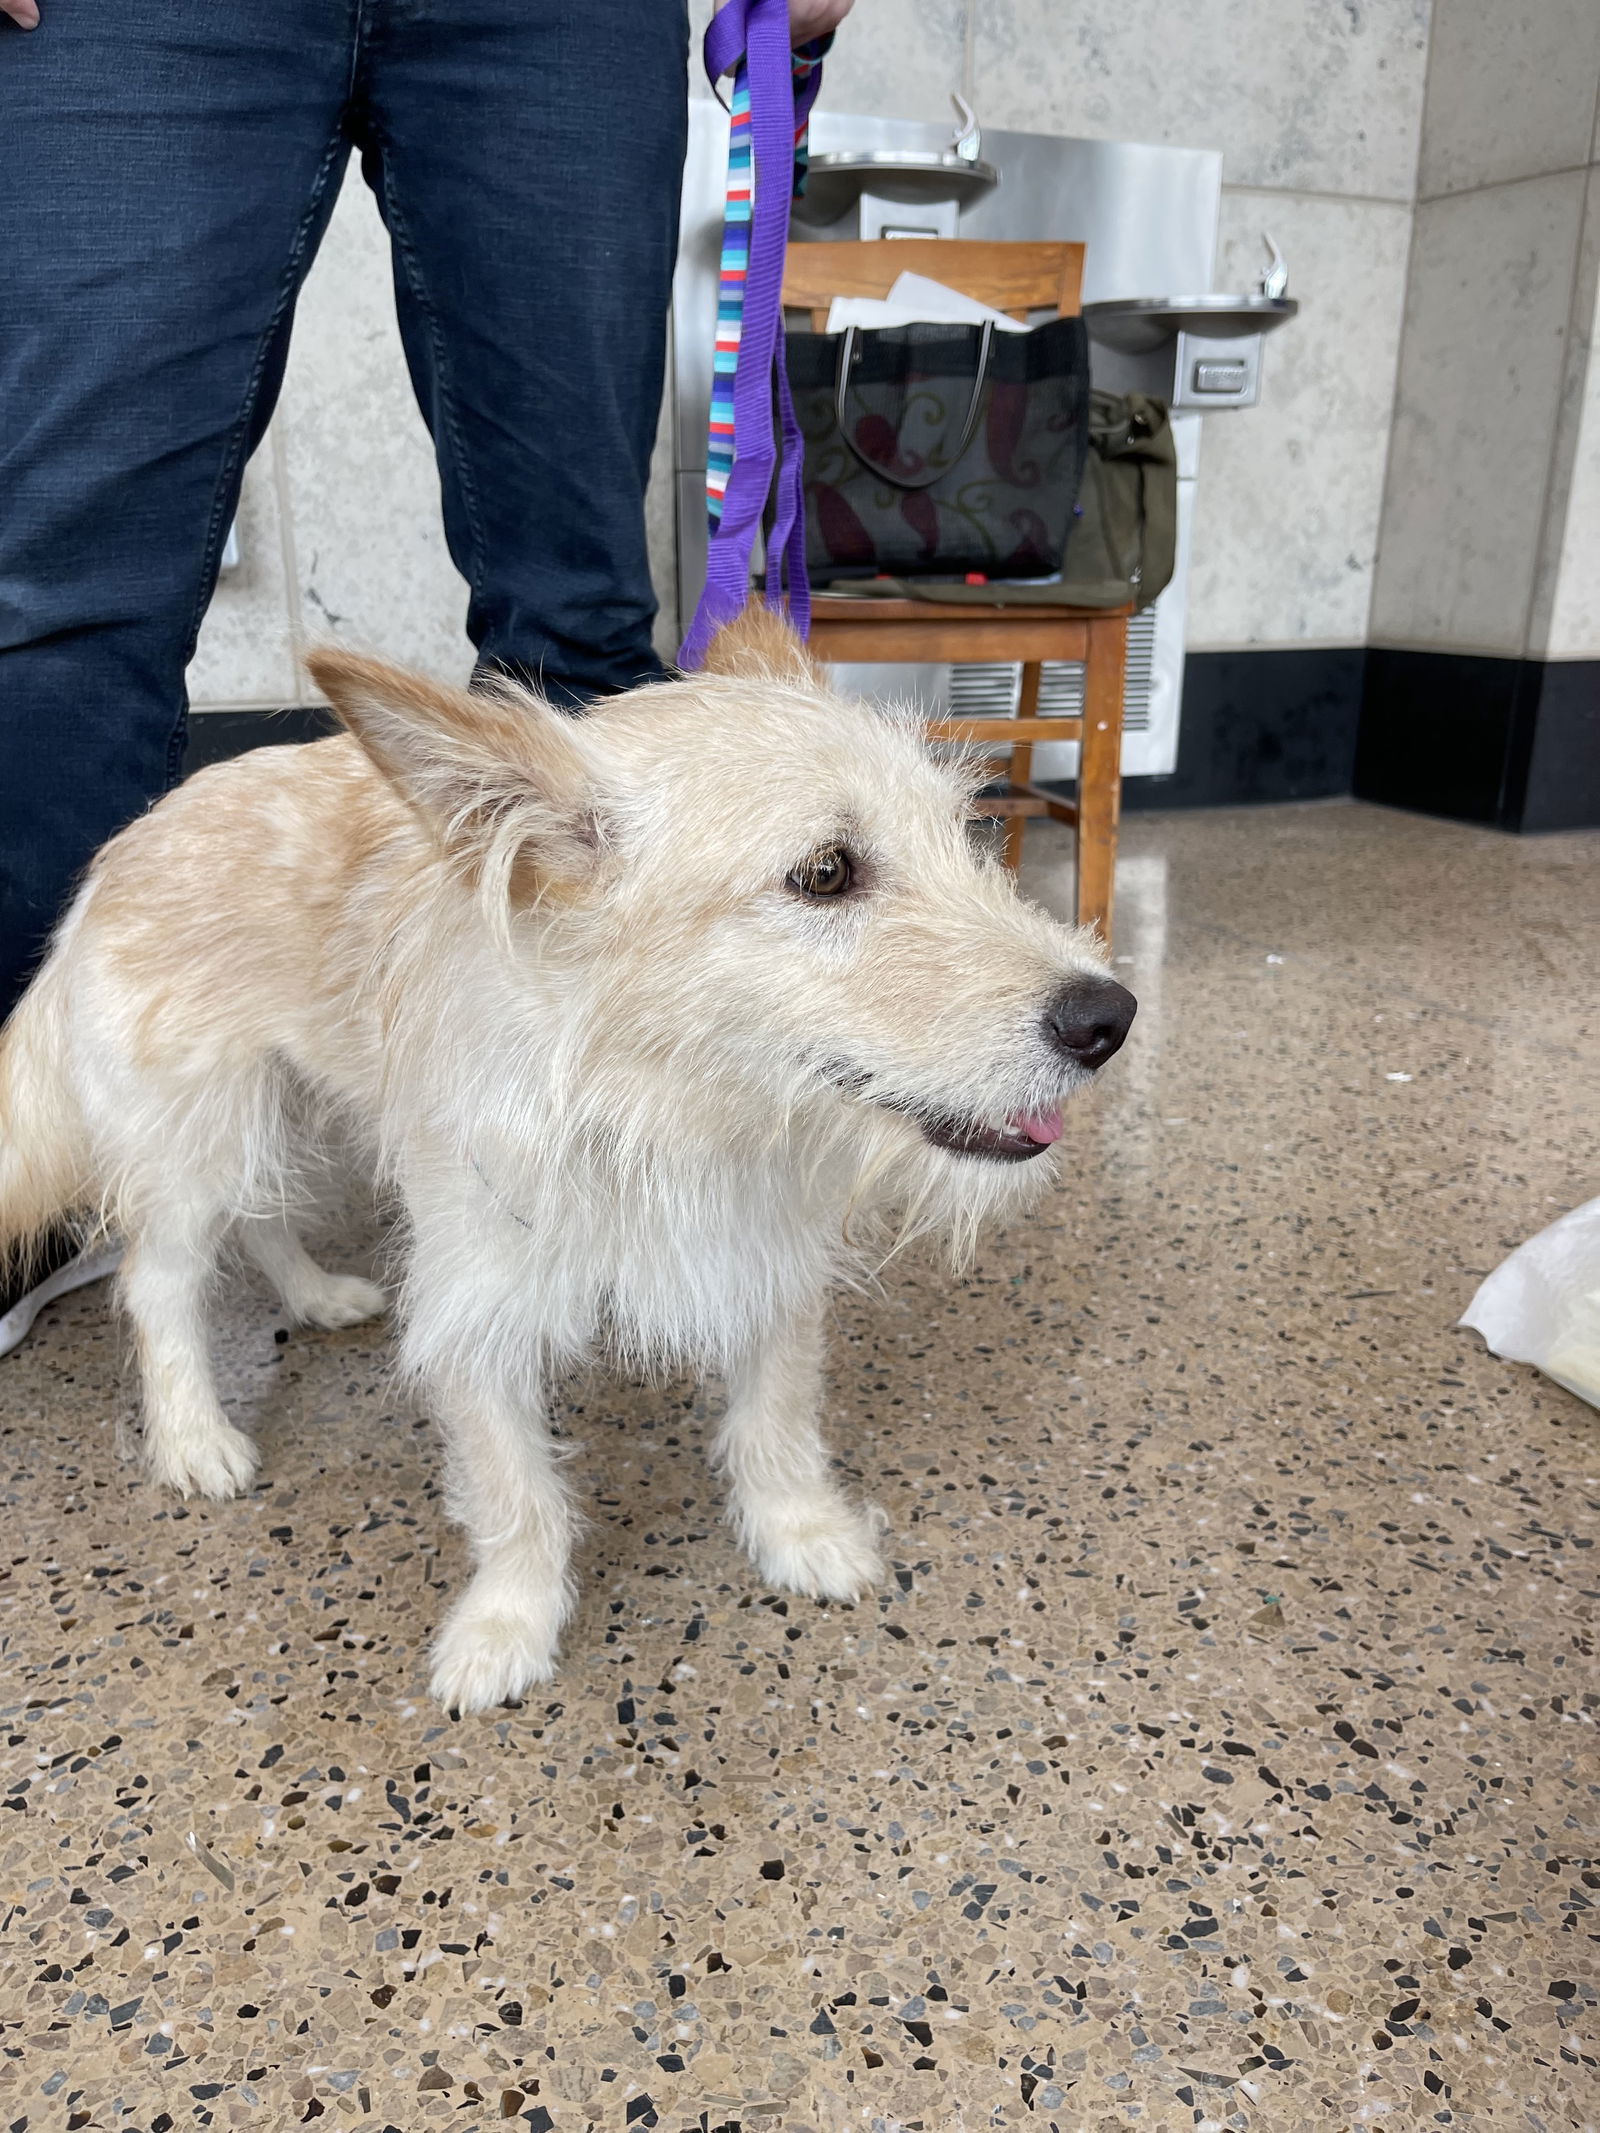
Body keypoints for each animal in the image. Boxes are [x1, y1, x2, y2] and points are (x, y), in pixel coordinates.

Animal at [0, 610, 1134, 1706]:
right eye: (824, 873)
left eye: (968, 832)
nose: (1110, 1017)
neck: (659, 1104)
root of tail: (128, 843)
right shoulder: (476, 1303)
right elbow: (516, 1492)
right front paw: (508, 1626)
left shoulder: (765, 1253)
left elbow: (776, 1420)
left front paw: (800, 1534)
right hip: (199, 1138)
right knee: (161, 1282)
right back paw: (194, 1437)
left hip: (293, 1108)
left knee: (266, 1213)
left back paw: (316, 1295)